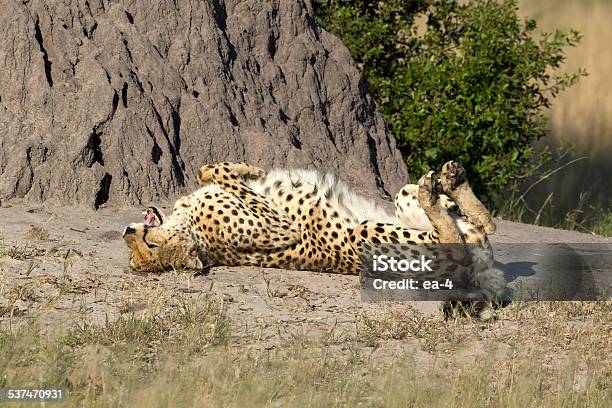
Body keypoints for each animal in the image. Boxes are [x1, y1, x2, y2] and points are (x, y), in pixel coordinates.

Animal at [122, 161, 504, 304]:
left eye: (147, 246)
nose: (127, 230)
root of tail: (481, 274)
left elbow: (208, 170)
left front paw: (248, 169)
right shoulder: (280, 227)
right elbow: (221, 176)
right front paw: (246, 172)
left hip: (402, 197)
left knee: (484, 224)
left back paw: (451, 182)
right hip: (366, 234)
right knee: (460, 238)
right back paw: (438, 192)